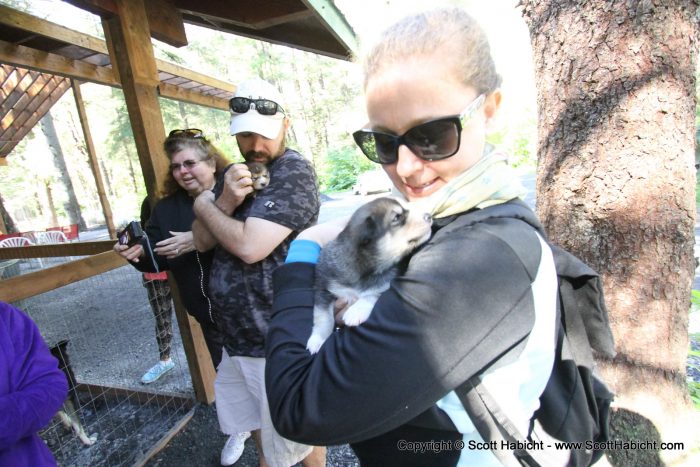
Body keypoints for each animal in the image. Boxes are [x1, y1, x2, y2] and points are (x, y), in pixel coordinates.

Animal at [308, 197, 432, 354]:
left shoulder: (386, 283)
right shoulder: (323, 289)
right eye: (397, 217)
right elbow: (323, 317)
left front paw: (356, 311)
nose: (429, 216)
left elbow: (372, 293)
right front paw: (317, 340)